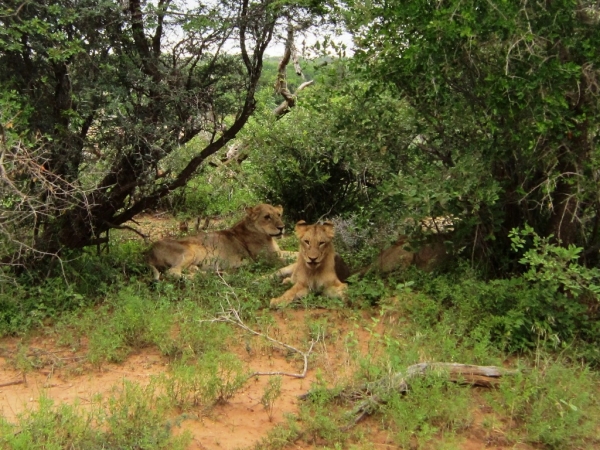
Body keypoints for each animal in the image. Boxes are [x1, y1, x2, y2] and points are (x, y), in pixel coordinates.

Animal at [148, 203, 292, 280]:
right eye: (267, 217)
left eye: (279, 215)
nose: (282, 227)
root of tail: (149, 251)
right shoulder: (269, 259)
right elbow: (288, 260)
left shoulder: (278, 253)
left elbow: (293, 253)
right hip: (190, 251)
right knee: (172, 272)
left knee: (191, 269)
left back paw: (218, 273)